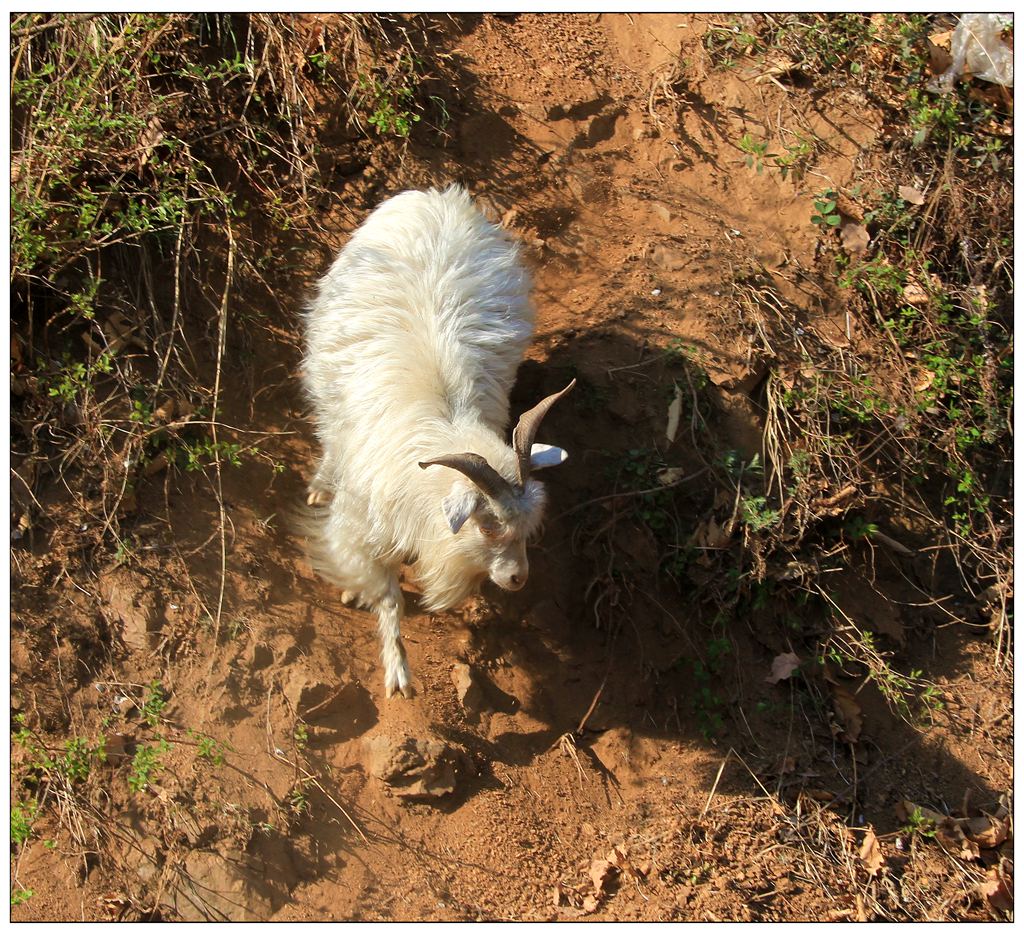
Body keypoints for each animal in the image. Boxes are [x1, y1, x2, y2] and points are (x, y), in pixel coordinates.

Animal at [303, 186, 577, 696]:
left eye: (529, 526)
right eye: (487, 525)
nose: (517, 579)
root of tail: (439, 198)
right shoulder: (360, 525)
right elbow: (388, 596)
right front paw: (397, 672)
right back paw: (319, 482)